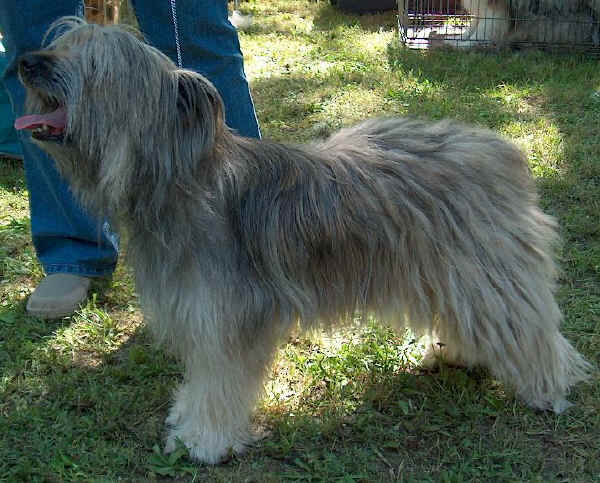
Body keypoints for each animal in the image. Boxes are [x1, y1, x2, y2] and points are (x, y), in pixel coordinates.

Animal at [16, 19, 592, 466]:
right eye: (63, 44)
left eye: (94, 63)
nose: (25, 61)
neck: (182, 180)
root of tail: (501, 150)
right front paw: (186, 420)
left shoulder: (226, 318)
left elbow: (219, 382)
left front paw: (204, 439)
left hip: (487, 272)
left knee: (530, 329)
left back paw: (547, 389)